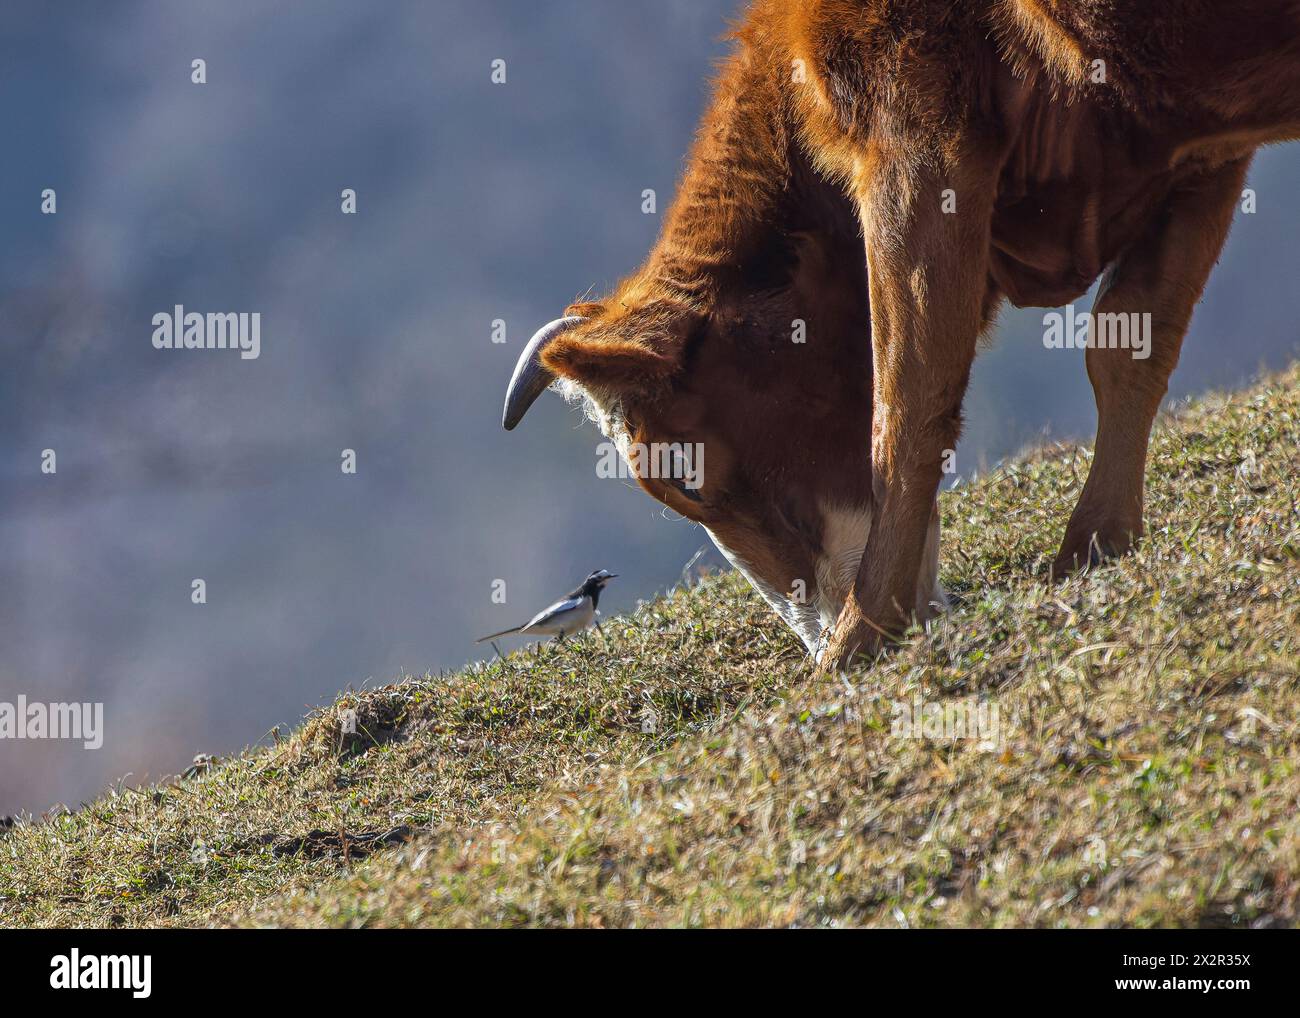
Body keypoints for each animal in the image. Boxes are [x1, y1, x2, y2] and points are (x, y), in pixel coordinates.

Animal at [499, 1, 1300, 670]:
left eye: (682, 476)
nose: (816, 633)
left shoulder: (915, 133)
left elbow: (906, 405)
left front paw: (860, 633)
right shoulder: (1199, 152)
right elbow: (1130, 345)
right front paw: (1096, 546)